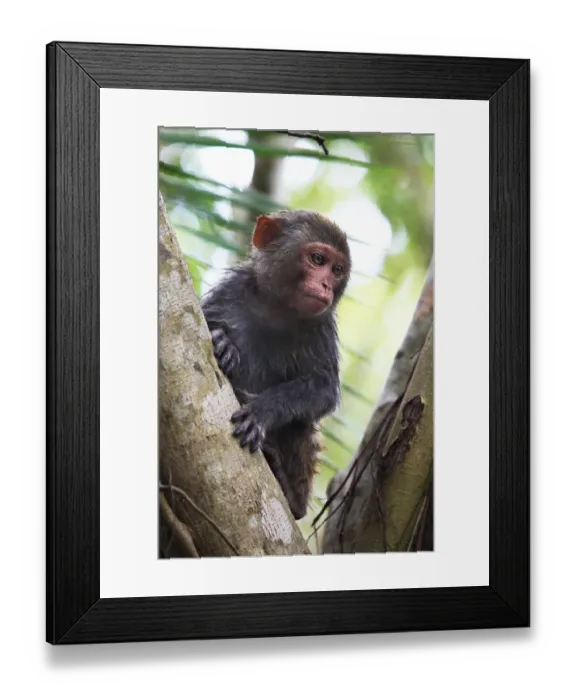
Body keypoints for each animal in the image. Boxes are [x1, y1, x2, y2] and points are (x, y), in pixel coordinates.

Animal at [200, 209, 351, 521]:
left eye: (337, 270)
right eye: (317, 259)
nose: (326, 286)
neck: (277, 307)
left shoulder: (321, 326)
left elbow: (324, 389)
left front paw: (262, 411)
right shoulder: (231, 290)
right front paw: (223, 342)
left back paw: (291, 496)